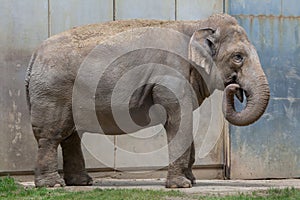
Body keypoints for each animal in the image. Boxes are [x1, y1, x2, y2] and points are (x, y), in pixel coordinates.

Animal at [25, 14, 270, 188]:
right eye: (238, 57)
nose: (235, 87)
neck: (195, 26)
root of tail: (34, 56)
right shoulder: (170, 76)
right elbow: (178, 121)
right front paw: (181, 185)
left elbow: (183, 121)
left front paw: (191, 181)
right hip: (53, 92)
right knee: (51, 135)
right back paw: (52, 185)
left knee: (71, 135)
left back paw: (82, 183)